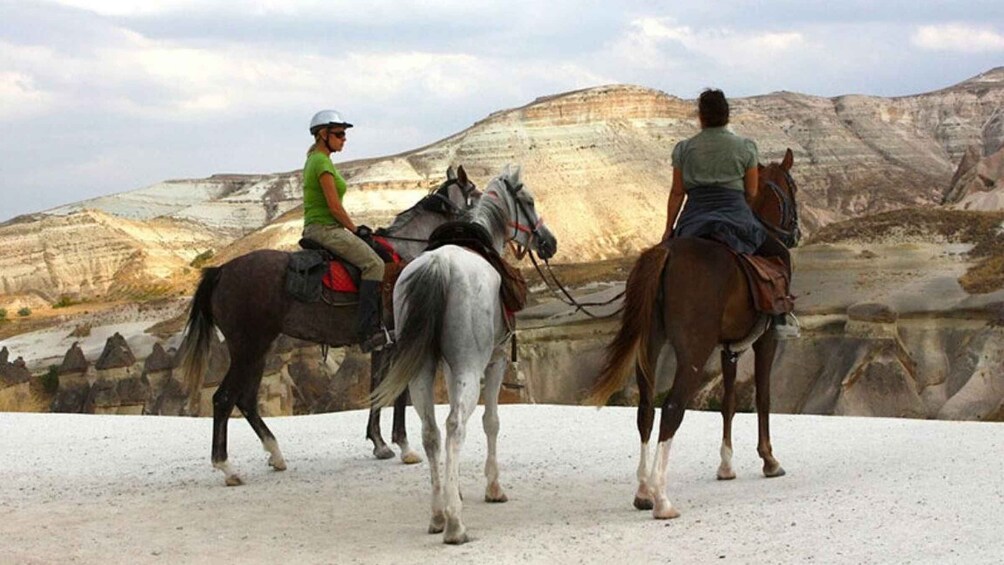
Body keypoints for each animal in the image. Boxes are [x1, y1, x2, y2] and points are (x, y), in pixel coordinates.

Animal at [180, 166, 477, 485]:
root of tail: (221, 272)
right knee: (224, 399)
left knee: (245, 399)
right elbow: (398, 394)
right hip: (248, 347)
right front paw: (405, 446)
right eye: (474, 192)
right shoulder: (403, 341)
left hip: (257, 349)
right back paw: (227, 467)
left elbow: (377, 388)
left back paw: (275, 454)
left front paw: (380, 443)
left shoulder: (383, 344)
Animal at [373, 162, 558, 541]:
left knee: (431, 431)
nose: (549, 241)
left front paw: (452, 490)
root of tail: (438, 267)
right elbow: (491, 422)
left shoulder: (446, 367)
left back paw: (437, 515)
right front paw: (492, 488)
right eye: (529, 201)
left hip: (421, 371)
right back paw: (455, 525)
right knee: (456, 424)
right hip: (471, 369)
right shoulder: (496, 361)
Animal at [586, 148, 799, 517]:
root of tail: (666, 252)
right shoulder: (766, 341)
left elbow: (728, 401)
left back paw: (643, 491)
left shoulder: (729, 348)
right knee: (672, 408)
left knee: (646, 410)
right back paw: (662, 499)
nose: (795, 234)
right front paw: (769, 460)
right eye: (794, 186)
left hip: (650, 345)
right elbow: (763, 397)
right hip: (693, 351)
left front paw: (726, 465)